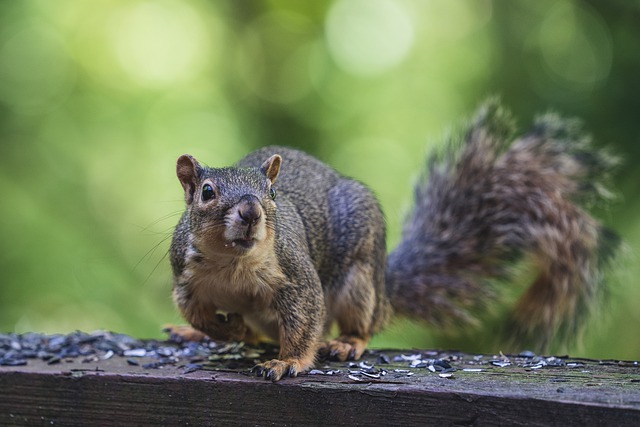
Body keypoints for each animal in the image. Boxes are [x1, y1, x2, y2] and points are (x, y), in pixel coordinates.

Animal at [168, 100, 616, 382]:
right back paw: (198, 334)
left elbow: (304, 320)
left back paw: (347, 342)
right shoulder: (186, 279)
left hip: (359, 279)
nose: (251, 212)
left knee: (359, 323)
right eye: (207, 192)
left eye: (271, 192)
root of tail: (384, 287)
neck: (234, 265)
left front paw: (287, 363)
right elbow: (199, 314)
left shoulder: (296, 275)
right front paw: (221, 329)